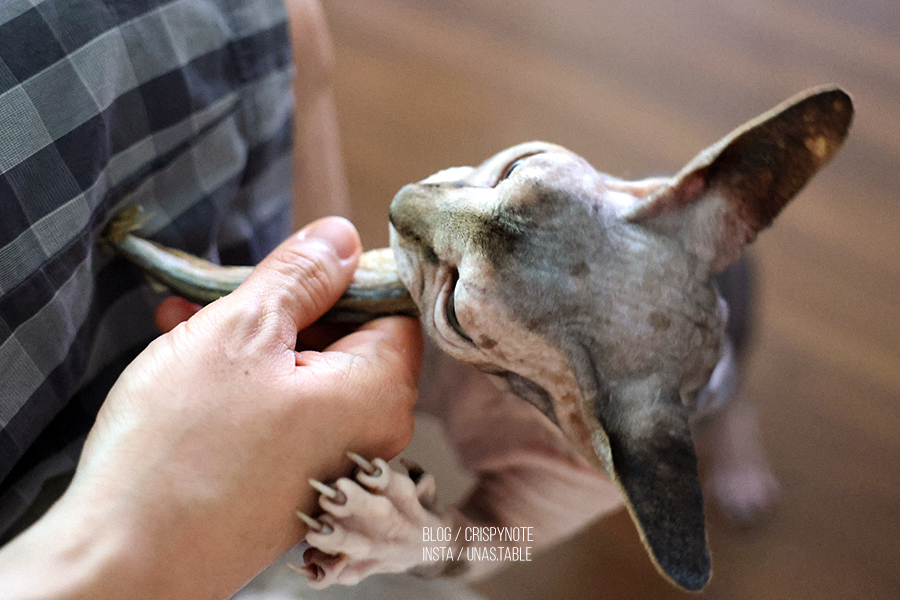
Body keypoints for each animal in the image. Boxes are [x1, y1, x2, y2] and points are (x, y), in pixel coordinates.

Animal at [298, 85, 852, 592]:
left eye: (455, 311)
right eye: (517, 166)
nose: (399, 201)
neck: (499, 396)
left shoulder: (543, 501)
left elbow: (453, 543)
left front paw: (379, 528)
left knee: (735, 399)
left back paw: (741, 471)